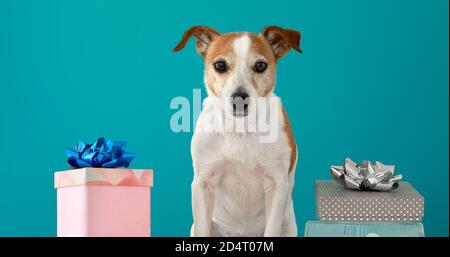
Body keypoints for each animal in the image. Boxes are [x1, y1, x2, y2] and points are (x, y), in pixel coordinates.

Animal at [172, 26, 302, 236]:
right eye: (220, 65)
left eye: (260, 65)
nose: (239, 99)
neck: (241, 130)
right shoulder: (203, 183)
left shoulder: (276, 185)